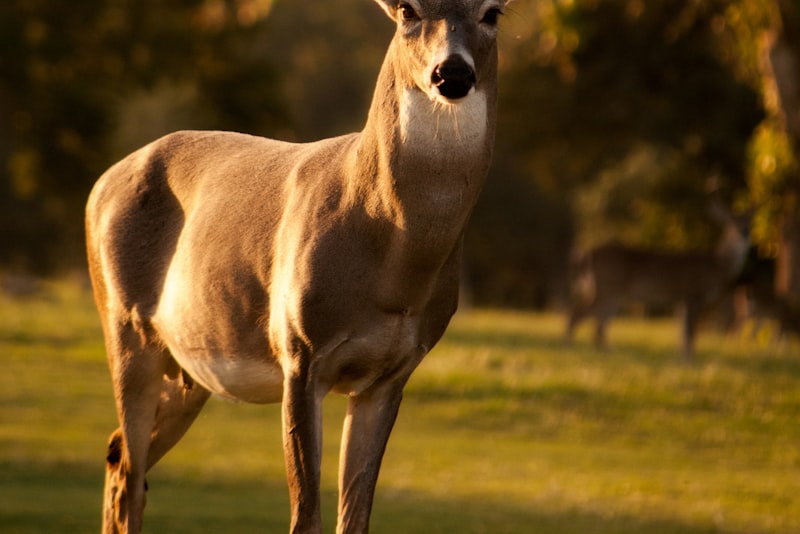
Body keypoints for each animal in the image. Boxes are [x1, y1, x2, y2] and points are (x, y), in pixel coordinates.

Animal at [84, 1, 508, 532]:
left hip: (188, 367)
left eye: (492, 13)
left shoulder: (392, 373)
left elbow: (356, 516)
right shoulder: (300, 353)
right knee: (129, 468)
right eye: (407, 10)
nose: (451, 72)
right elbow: (306, 515)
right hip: (125, 326)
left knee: (118, 455)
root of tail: (99, 185)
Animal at [565, 203, 750, 361]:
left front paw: (683, 358)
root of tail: (586, 255)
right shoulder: (691, 294)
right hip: (607, 288)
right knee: (580, 314)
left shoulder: (680, 299)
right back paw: (570, 347)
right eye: (731, 223)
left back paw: (604, 352)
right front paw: (690, 359)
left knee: (598, 322)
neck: (717, 265)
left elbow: (682, 330)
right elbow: (689, 331)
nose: (745, 233)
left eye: (749, 221)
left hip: (610, 293)